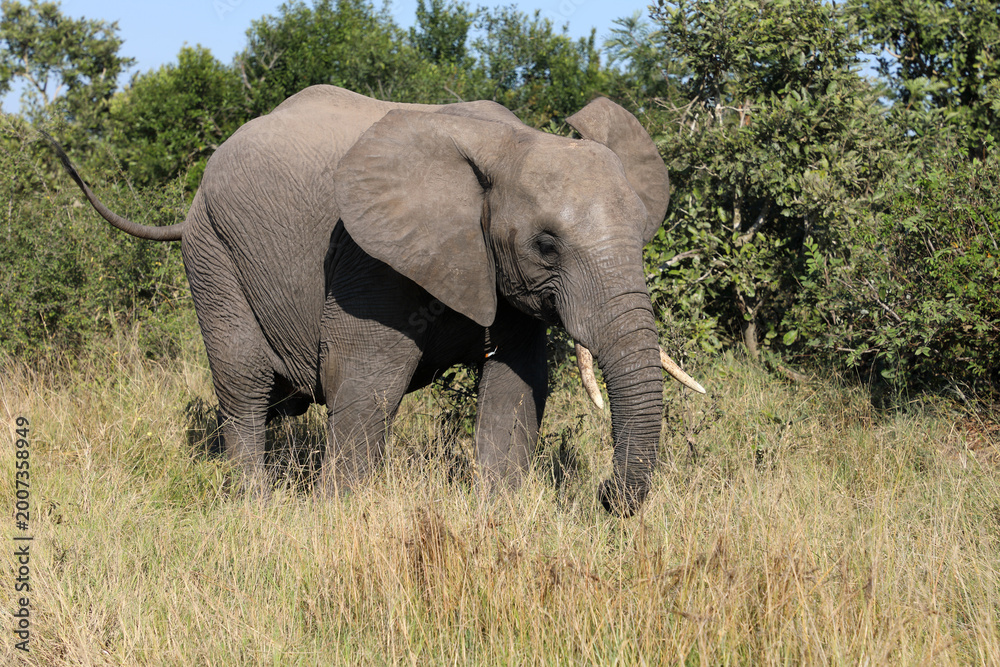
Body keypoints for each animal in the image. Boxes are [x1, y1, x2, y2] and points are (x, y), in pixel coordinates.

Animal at [48, 85, 704, 516]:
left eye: (642, 235)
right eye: (546, 245)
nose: (604, 495)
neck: (509, 145)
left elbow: (518, 384)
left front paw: (497, 516)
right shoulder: (371, 260)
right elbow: (367, 380)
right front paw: (337, 520)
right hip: (214, 252)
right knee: (243, 384)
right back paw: (255, 508)